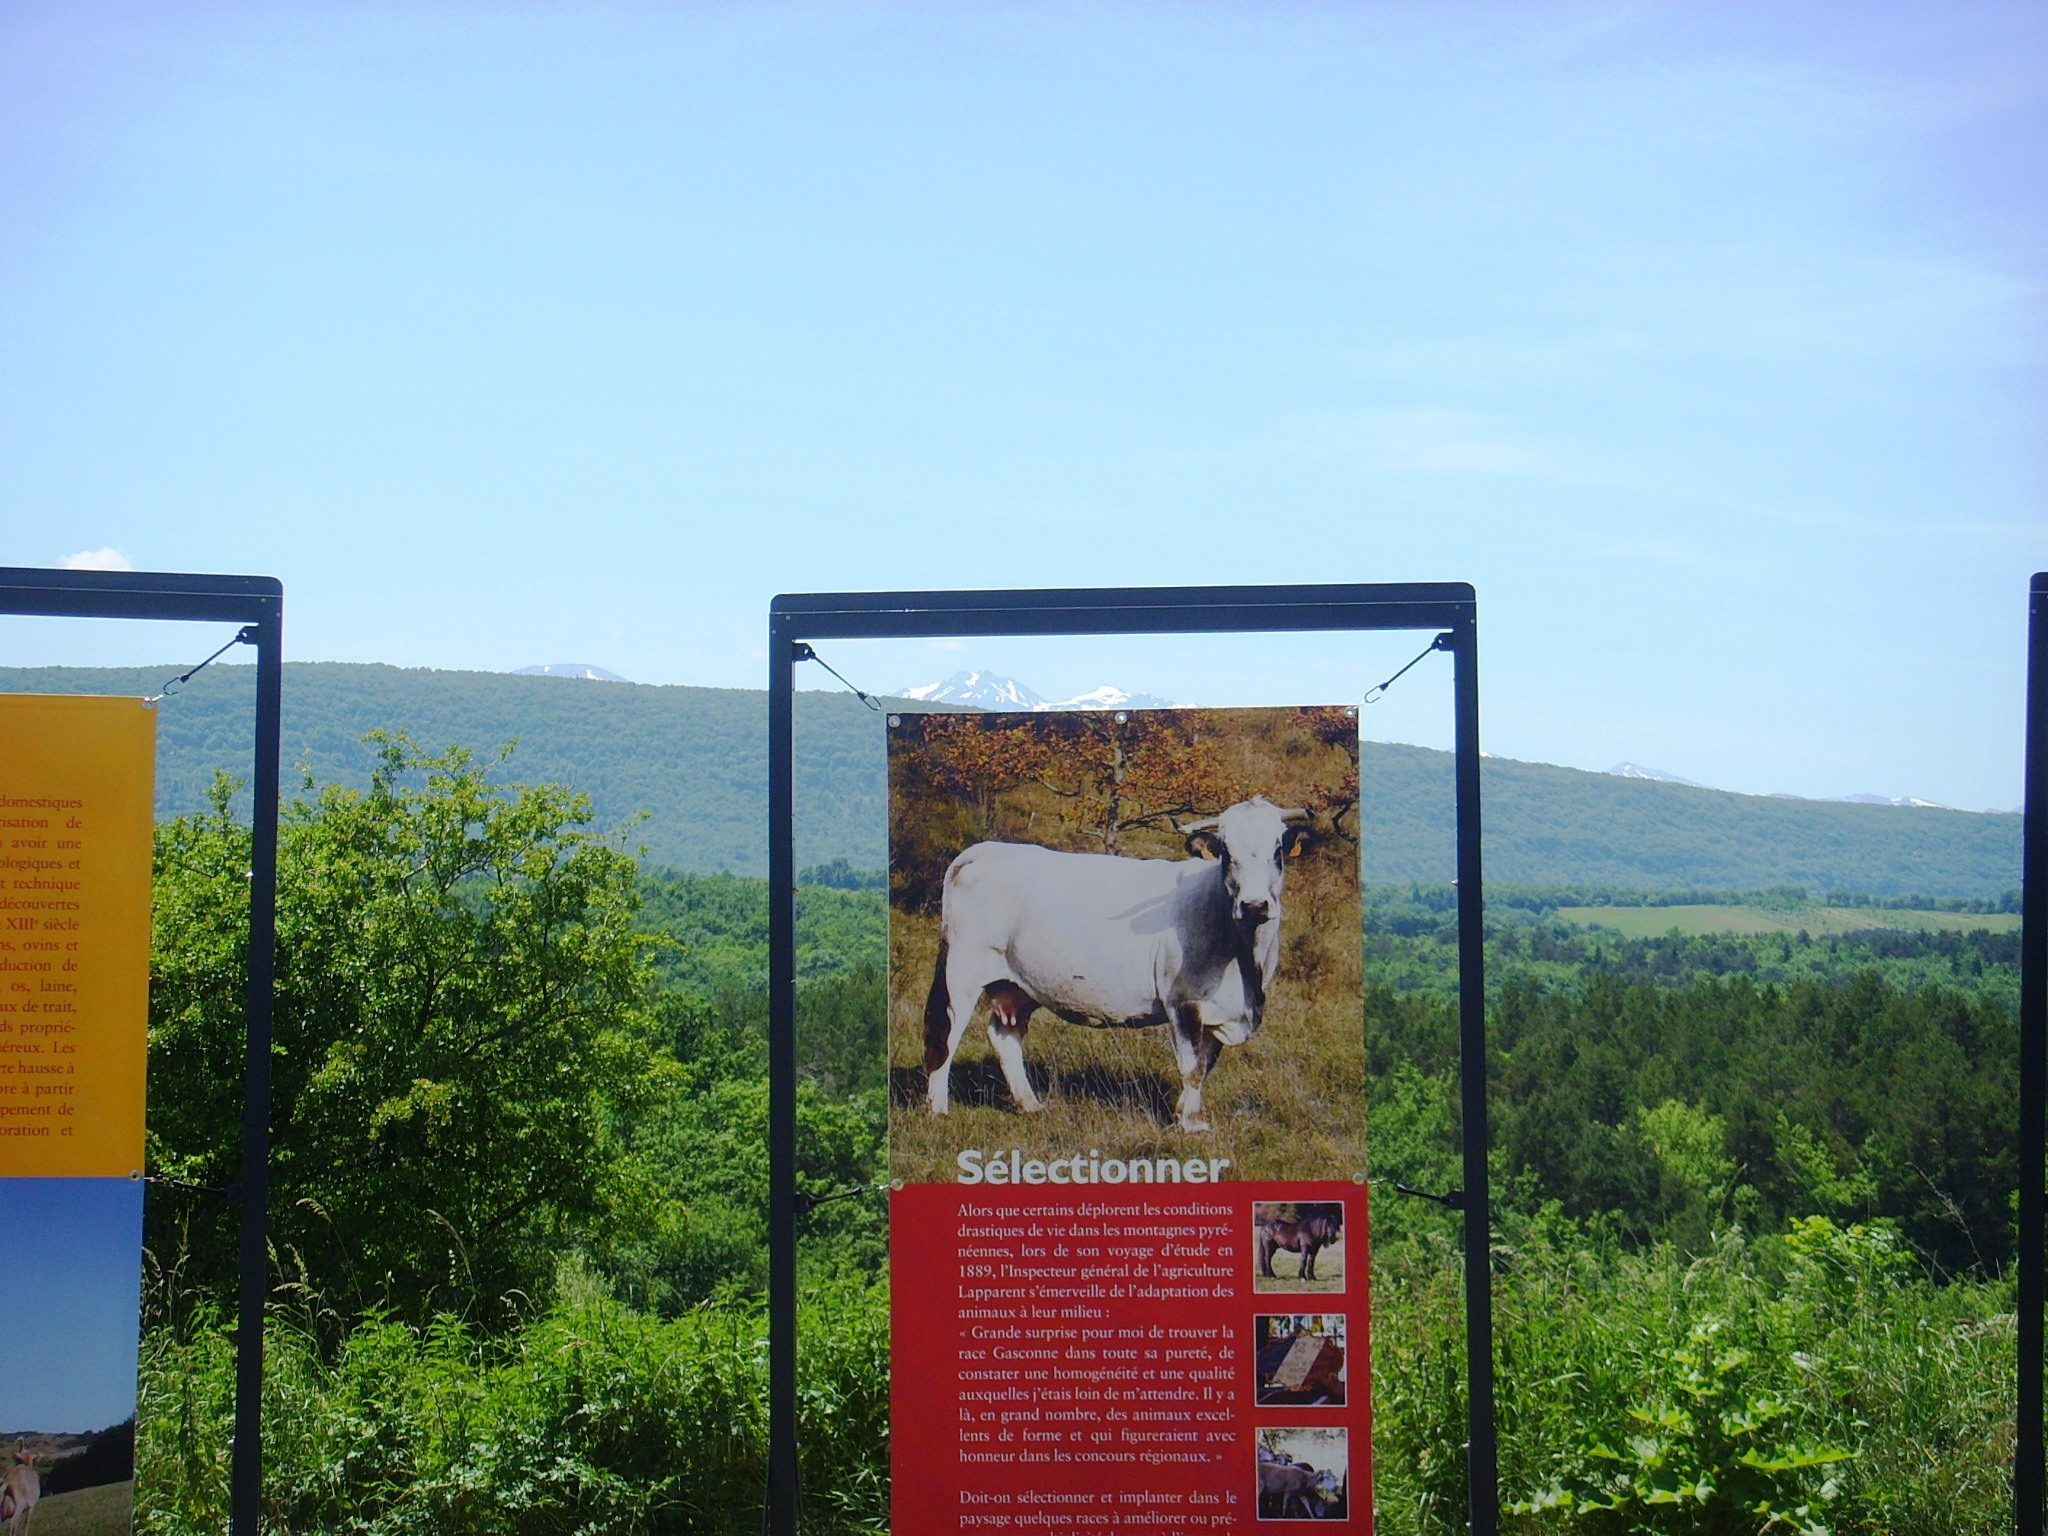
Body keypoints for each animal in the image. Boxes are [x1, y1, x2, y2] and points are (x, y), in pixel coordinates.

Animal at [917, 798, 1302, 1138]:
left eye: (1277, 852)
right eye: (1227, 853)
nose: (1254, 905)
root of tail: (987, 850)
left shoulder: (1220, 1012)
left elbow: (1204, 1067)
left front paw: (1189, 1116)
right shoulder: (1183, 1002)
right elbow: (1192, 1067)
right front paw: (1190, 1126)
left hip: (1018, 984)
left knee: (1004, 1036)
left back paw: (1030, 1105)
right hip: (962, 971)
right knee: (946, 1035)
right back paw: (938, 1110)